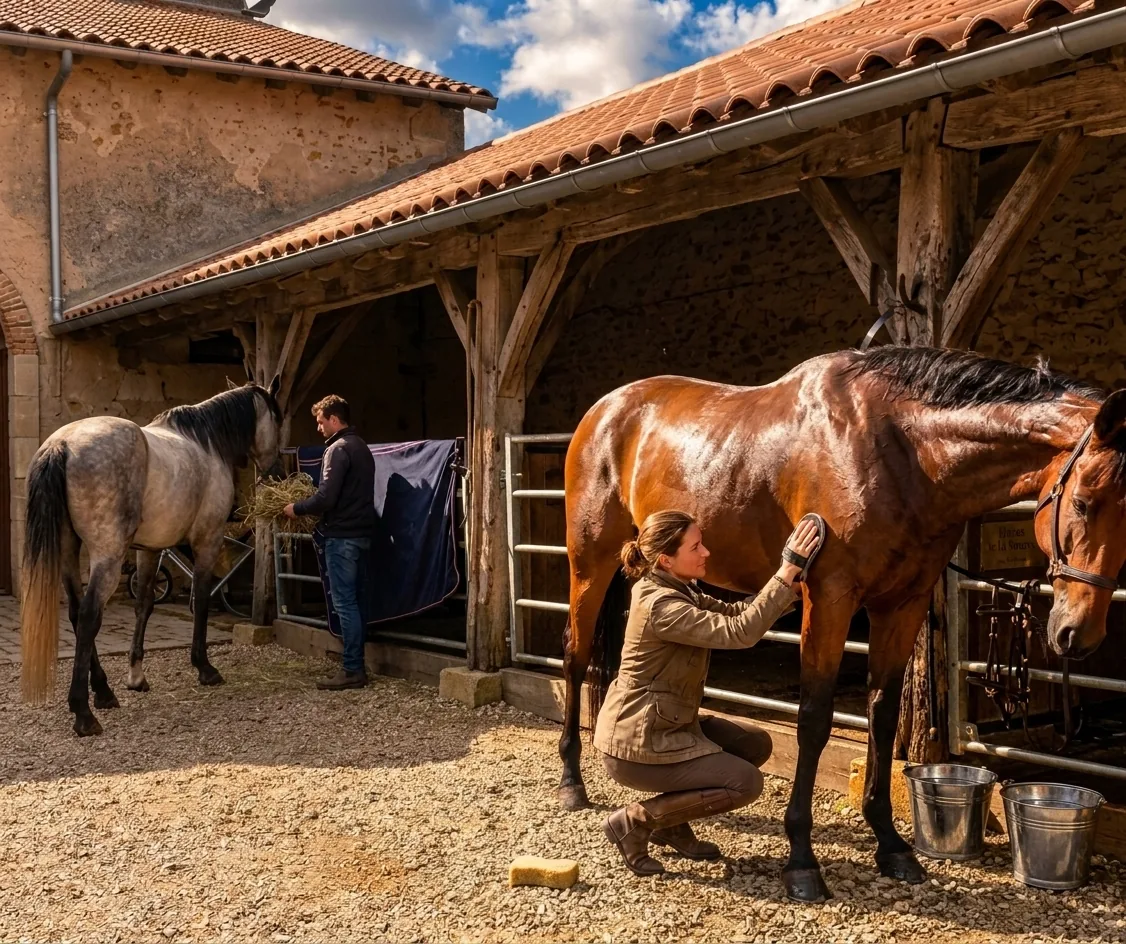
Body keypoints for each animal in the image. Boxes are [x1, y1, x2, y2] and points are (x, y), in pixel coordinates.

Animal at [20, 378, 285, 737]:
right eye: (278, 419)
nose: (278, 473)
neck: (207, 444)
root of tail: (62, 444)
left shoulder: (150, 551)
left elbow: (143, 605)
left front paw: (136, 676)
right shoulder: (209, 541)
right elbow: (202, 600)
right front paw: (205, 667)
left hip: (68, 552)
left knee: (75, 613)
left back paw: (104, 691)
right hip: (107, 556)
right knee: (88, 616)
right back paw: (84, 714)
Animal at [558, 346, 1126, 903]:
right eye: (1081, 502)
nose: (1078, 633)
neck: (902, 451)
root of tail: (604, 409)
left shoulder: (902, 605)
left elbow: (883, 715)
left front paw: (892, 845)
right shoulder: (828, 599)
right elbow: (814, 720)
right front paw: (801, 861)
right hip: (590, 564)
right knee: (575, 657)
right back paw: (572, 783)